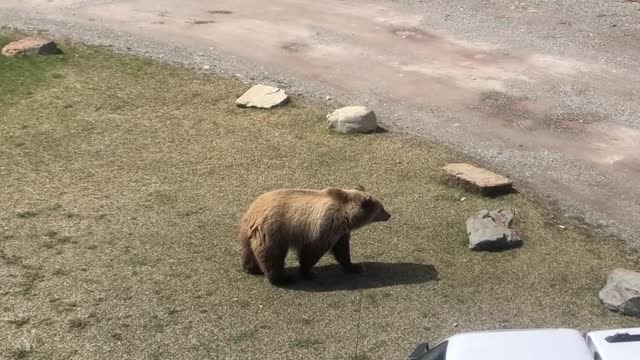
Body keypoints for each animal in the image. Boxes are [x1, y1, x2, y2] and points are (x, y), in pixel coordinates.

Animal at [238, 187, 390, 286]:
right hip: (273, 233)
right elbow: (312, 252)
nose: (389, 215)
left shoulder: (340, 232)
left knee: (249, 251)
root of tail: (252, 214)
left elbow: (342, 250)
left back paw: (251, 268)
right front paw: (308, 273)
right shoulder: (325, 226)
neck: (346, 216)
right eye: (381, 208)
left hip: (249, 232)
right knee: (272, 256)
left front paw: (355, 266)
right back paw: (283, 279)